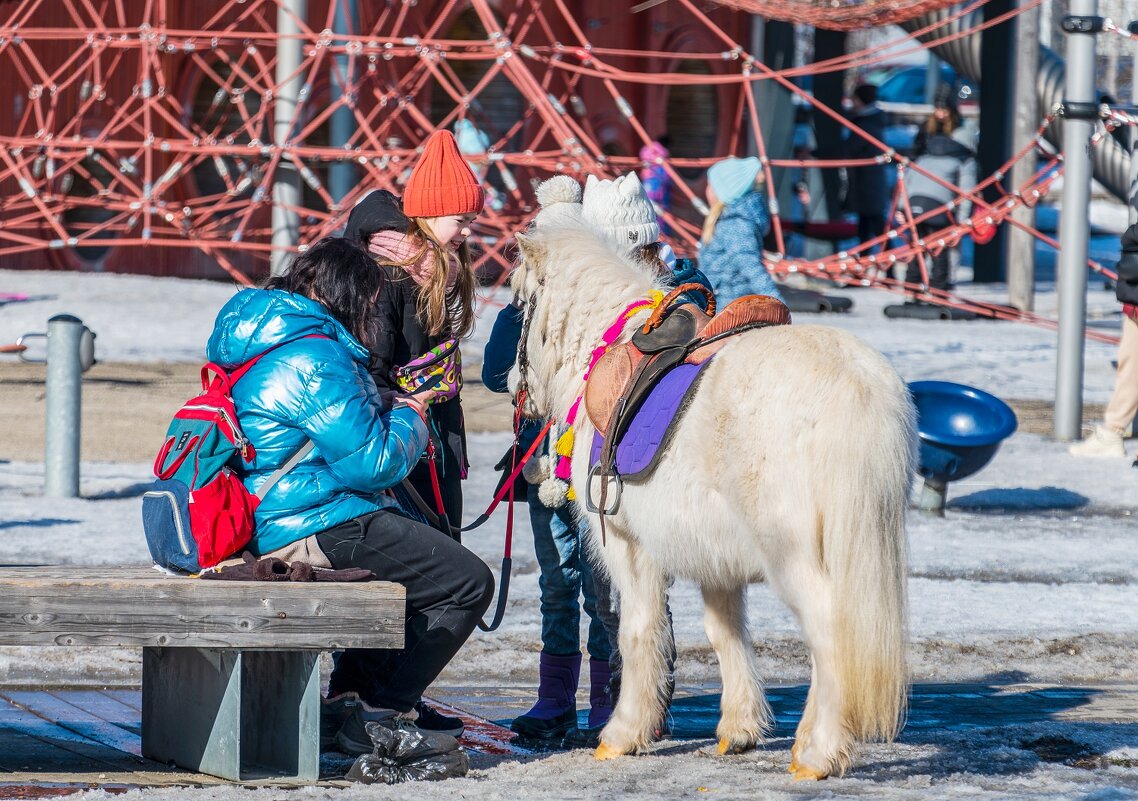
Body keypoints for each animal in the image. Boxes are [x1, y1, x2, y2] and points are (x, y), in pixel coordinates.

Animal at [512, 221, 919, 778]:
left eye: (519, 303)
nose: (516, 392)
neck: (602, 351)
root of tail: (858, 385)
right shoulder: (716, 560)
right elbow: (725, 632)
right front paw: (739, 729)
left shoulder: (629, 546)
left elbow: (638, 630)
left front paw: (623, 733)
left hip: (793, 555)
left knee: (831, 631)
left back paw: (819, 751)